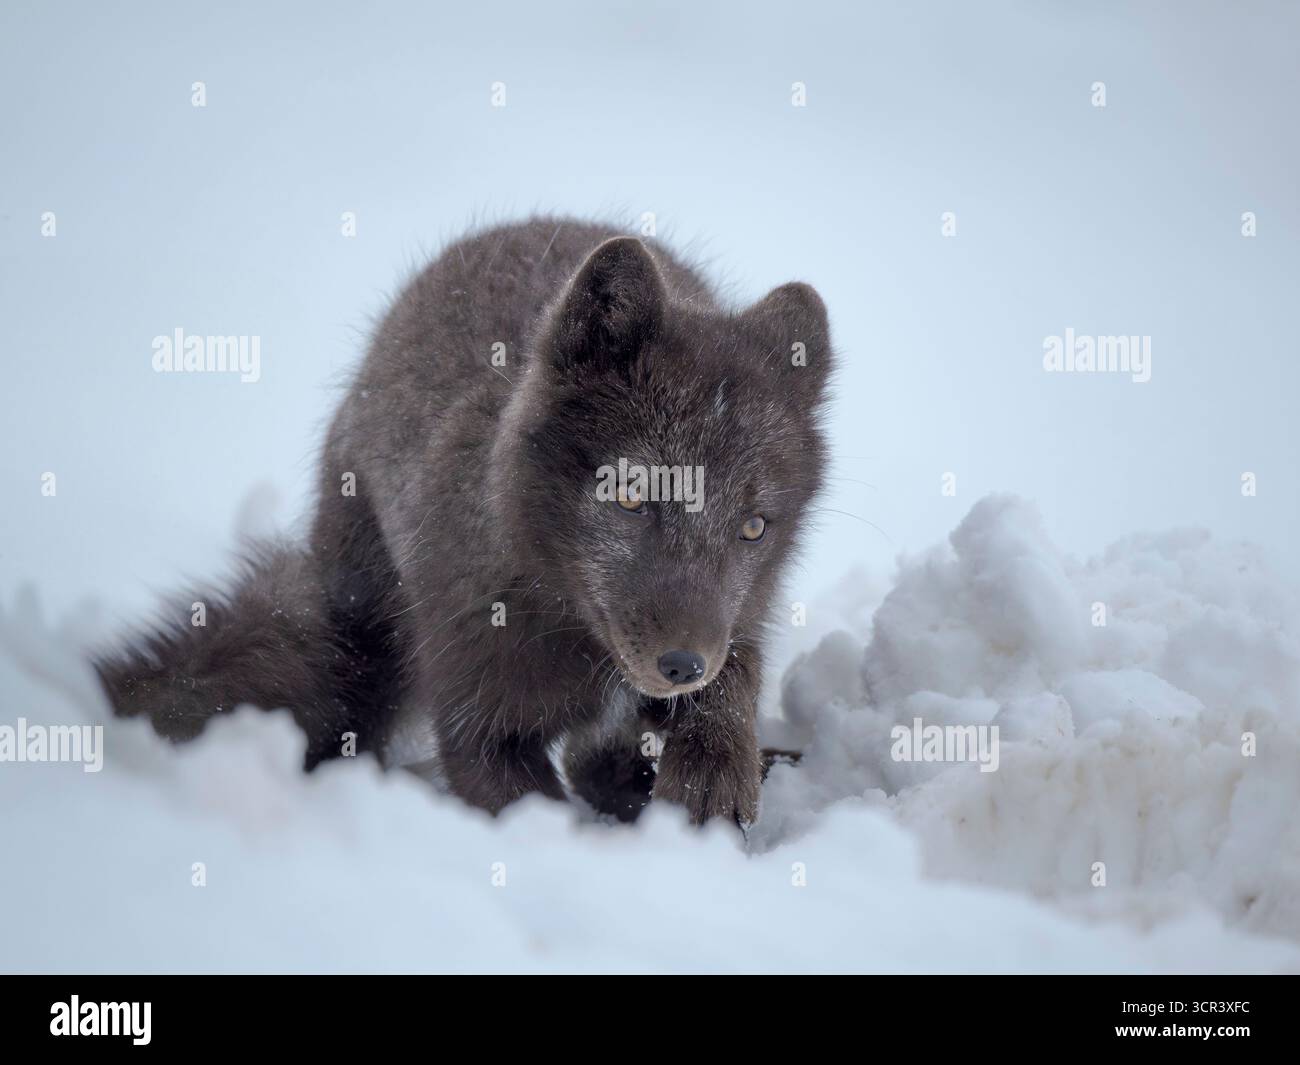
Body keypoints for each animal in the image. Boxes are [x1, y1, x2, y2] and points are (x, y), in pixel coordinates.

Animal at [96, 217, 833, 825]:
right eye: (630, 495)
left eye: (754, 527)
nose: (683, 665)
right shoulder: (477, 723)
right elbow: (527, 803)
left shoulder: (740, 621)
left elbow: (733, 683)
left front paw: (714, 777)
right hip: (357, 649)